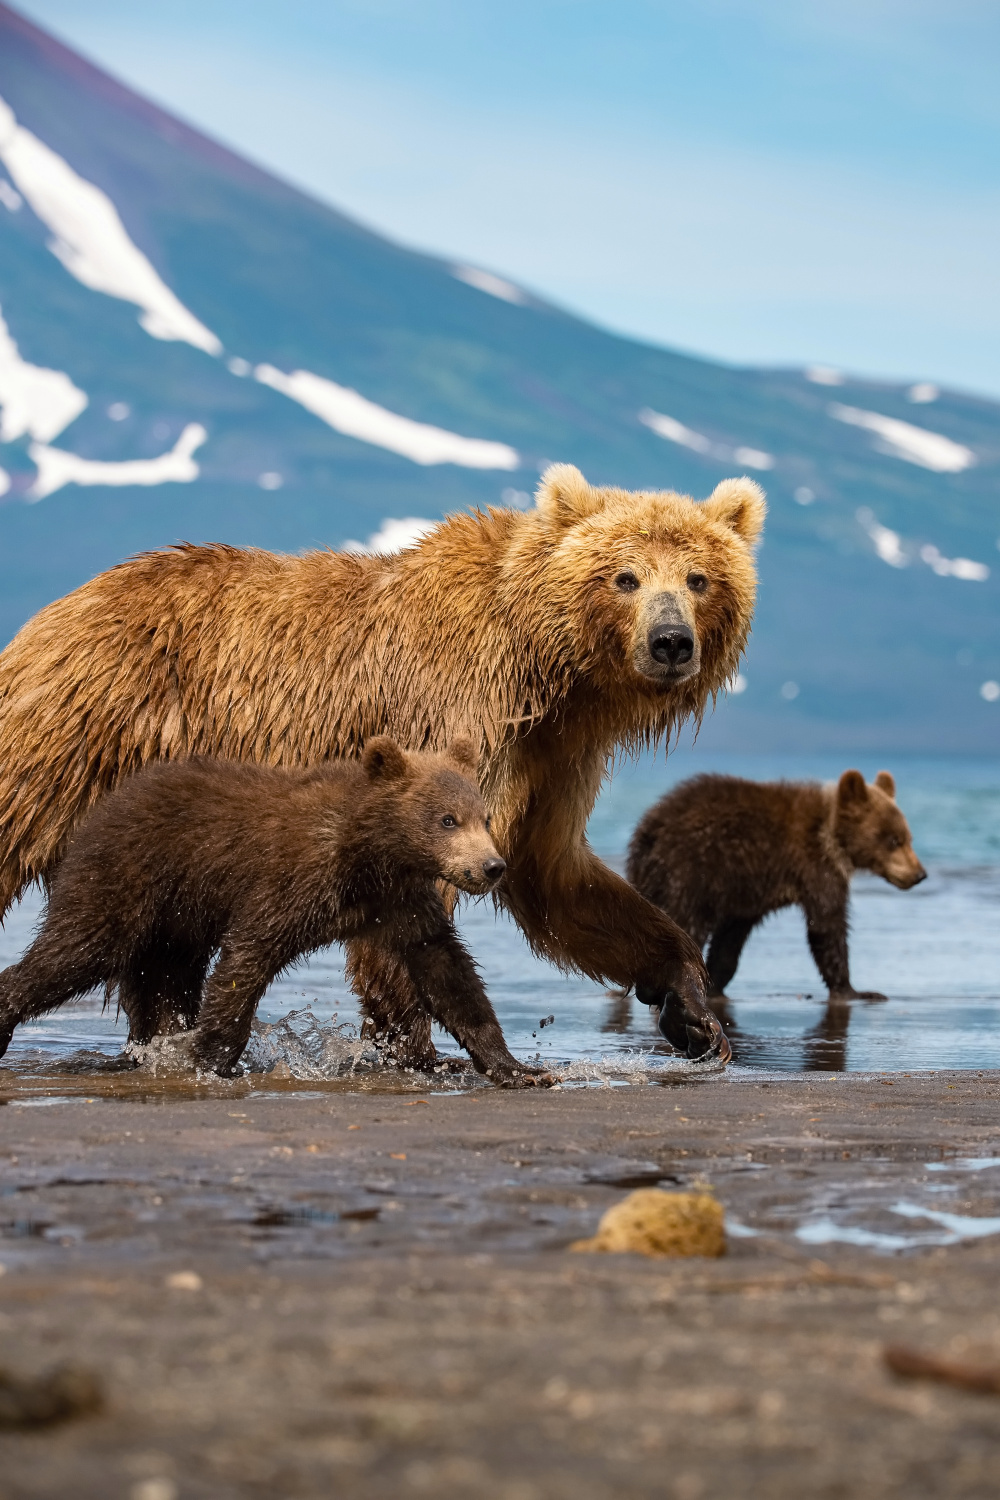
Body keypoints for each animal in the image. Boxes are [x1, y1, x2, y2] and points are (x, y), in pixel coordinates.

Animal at [0, 735, 536, 1080]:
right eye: (447, 819)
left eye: (485, 817)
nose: (492, 866)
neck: (370, 854)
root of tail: (101, 808)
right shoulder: (294, 879)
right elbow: (249, 954)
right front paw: (210, 1058)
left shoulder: (400, 903)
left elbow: (447, 970)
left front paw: (515, 1067)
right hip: (128, 878)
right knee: (76, 949)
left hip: (177, 924)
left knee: (165, 983)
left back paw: (154, 1043)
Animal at [629, 774, 929, 996]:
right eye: (894, 840)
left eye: (908, 837)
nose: (920, 874)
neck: (831, 835)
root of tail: (649, 830)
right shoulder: (814, 867)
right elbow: (827, 925)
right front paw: (855, 990)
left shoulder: (749, 892)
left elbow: (731, 937)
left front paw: (717, 983)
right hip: (688, 872)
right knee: (684, 923)